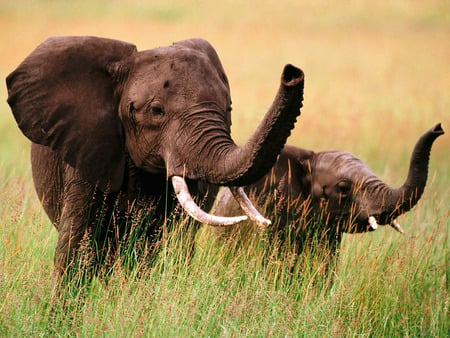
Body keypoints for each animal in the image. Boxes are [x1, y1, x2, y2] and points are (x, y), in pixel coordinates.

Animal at [6, 35, 306, 276]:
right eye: (157, 111)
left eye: (228, 108)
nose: (292, 73)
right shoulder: (87, 151)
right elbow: (76, 247)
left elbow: (171, 243)